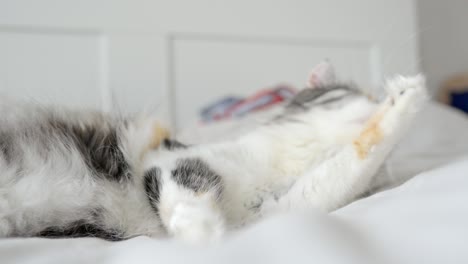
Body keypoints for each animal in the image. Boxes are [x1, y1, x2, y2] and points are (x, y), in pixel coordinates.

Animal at [0, 62, 428, 243]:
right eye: (351, 94)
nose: (375, 101)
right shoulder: (166, 161)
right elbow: (186, 194)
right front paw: (201, 234)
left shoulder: (280, 210)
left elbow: (353, 159)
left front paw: (404, 104)